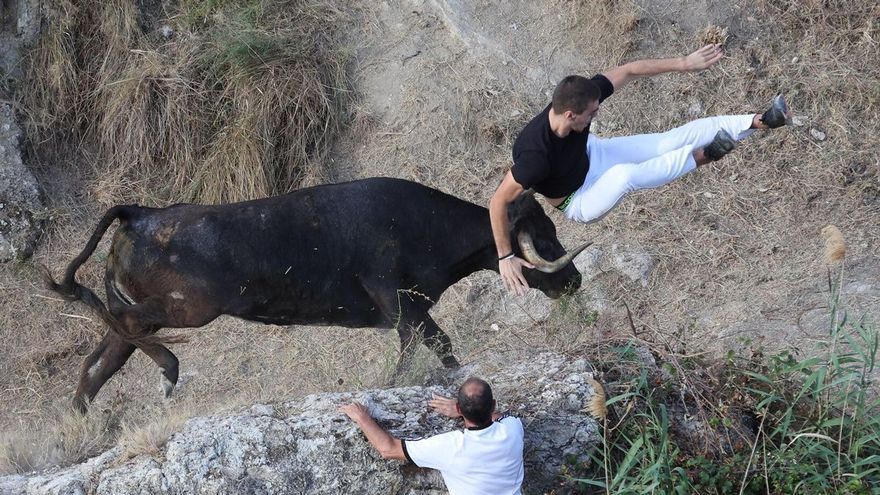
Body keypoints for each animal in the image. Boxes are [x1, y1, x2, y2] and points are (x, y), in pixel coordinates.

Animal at [43, 178, 589, 413]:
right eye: (543, 236)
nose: (573, 280)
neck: (426, 225)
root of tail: (141, 211)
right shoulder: (403, 304)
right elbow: (440, 346)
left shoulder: (406, 314)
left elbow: (417, 352)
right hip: (186, 310)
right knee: (119, 332)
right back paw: (168, 370)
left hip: (149, 313)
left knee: (100, 360)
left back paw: (85, 417)